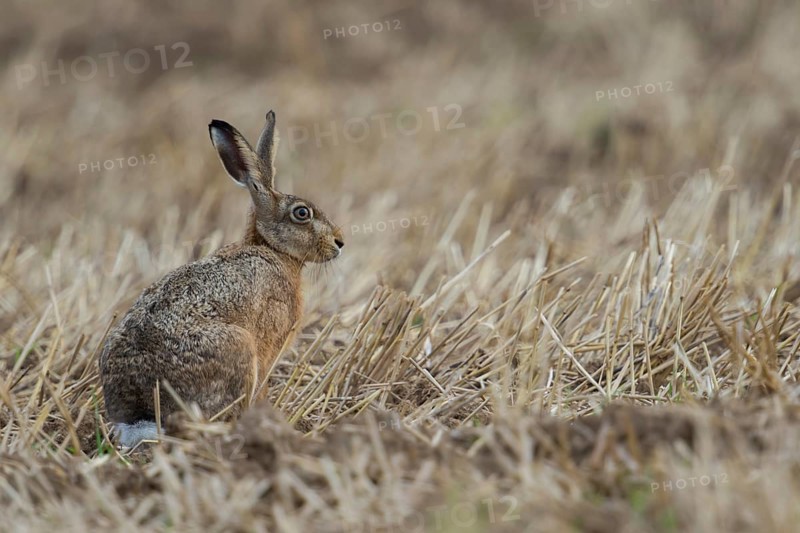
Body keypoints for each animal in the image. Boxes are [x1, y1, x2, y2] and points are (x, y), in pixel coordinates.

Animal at [99, 110, 344, 447]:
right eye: (302, 213)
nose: (339, 242)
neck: (270, 247)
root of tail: (141, 414)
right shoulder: (268, 347)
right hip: (240, 349)